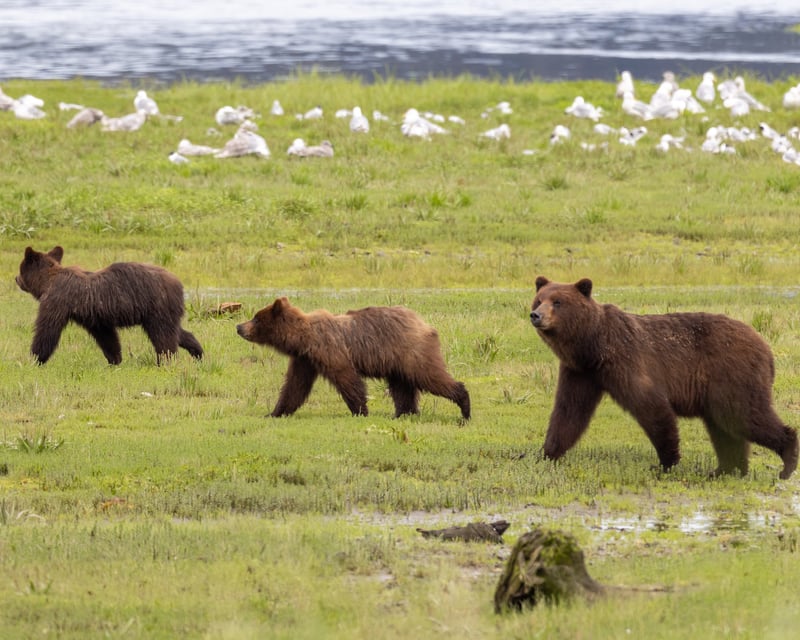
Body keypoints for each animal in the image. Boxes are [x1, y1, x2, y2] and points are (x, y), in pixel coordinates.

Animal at [16, 246, 203, 365]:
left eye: (20, 269)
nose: (16, 279)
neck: (47, 282)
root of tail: (178, 284)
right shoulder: (95, 317)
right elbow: (107, 337)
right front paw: (115, 359)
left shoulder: (57, 300)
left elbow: (47, 329)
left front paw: (35, 358)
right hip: (163, 312)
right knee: (176, 332)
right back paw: (198, 352)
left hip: (156, 308)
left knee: (163, 337)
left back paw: (165, 360)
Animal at [236, 297, 471, 419]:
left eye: (256, 318)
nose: (239, 326)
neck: (302, 339)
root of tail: (424, 323)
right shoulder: (305, 360)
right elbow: (295, 387)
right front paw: (275, 412)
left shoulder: (329, 350)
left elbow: (347, 378)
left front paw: (360, 410)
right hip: (396, 362)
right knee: (402, 387)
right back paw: (403, 413)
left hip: (412, 352)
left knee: (430, 376)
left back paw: (464, 408)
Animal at [530, 276, 798, 480]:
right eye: (539, 299)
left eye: (558, 302)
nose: (536, 315)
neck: (592, 346)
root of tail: (766, 347)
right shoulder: (581, 372)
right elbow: (569, 413)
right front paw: (545, 454)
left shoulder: (625, 361)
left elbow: (651, 406)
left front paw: (665, 462)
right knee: (725, 427)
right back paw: (725, 469)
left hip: (732, 374)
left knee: (746, 416)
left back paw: (786, 462)